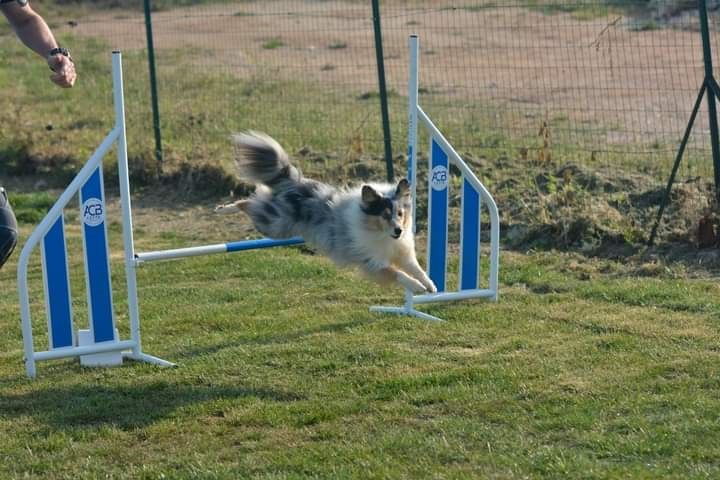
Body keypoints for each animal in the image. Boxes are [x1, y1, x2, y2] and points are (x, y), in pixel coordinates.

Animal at [214, 133, 436, 294]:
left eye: (400, 213)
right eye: (384, 215)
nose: (399, 231)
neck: (381, 235)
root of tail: (293, 182)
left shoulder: (403, 253)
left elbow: (417, 269)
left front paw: (431, 285)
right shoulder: (371, 262)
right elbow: (398, 274)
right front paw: (417, 287)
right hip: (275, 226)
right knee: (248, 203)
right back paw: (224, 209)